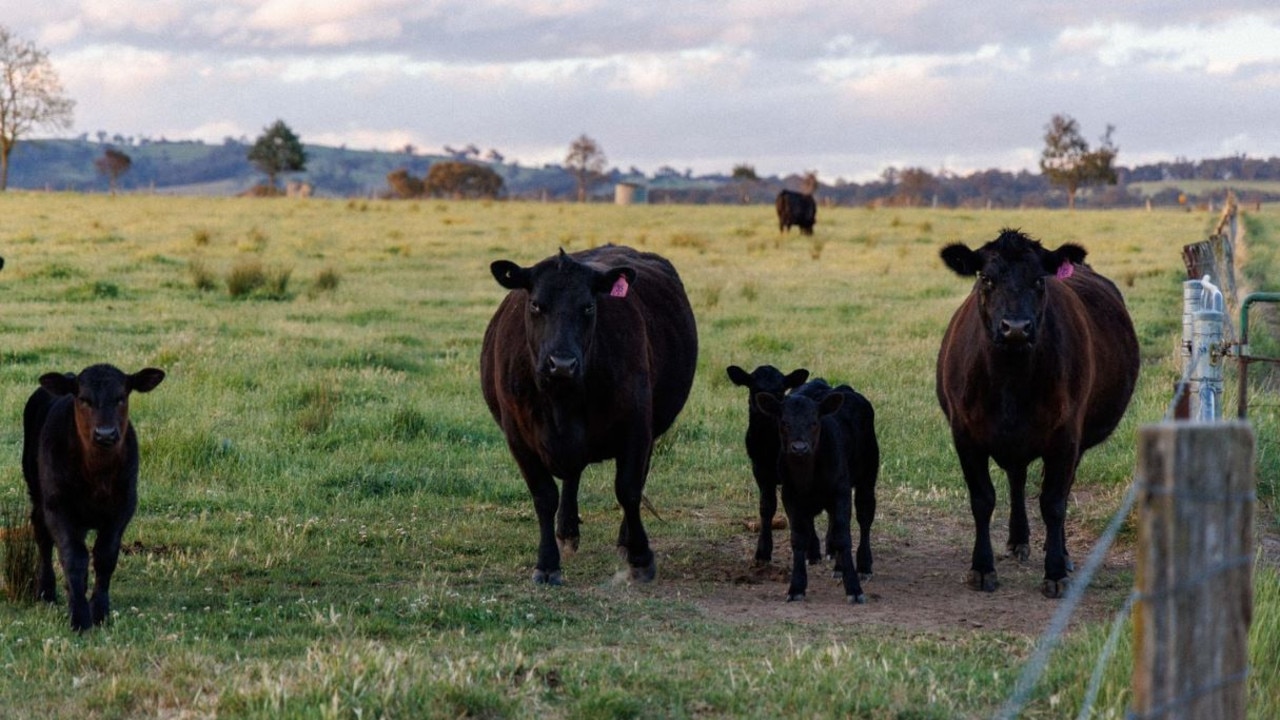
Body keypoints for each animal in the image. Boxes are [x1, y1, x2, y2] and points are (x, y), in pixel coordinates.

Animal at [22, 363, 166, 627]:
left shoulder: (124, 506)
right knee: (42, 536)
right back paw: (46, 592)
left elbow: (104, 556)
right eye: (84, 399)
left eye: (121, 397)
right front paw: (79, 617)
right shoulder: (57, 506)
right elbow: (73, 557)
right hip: (36, 491)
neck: (97, 474)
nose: (105, 434)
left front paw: (99, 611)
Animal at [481, 244, 701, 584]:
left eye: (588, 307)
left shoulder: (637, 427)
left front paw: (640, 556)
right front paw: (547, 563)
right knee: (572, 477)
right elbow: (544, 496)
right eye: (536, 305)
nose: (561, 364)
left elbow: (629, 489)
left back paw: (624, 541)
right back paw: (566, 531)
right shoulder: (517, 434)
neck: (562, 400)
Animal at [752, 379, 875, 602]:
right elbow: (798, 537)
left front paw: (854, 588)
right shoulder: (790, 495)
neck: (808, 475)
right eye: (784, 423)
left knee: (864, 518)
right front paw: (796, 586)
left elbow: (843, 536)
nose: (799, 448)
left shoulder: (841, 491)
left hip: (867, 478)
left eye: (814, 422)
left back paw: (863, 565)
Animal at [931, 228, 1141, 594]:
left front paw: (1055, 570)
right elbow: (982, 499)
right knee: (1016, 478)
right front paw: (982, 568)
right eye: (986, 278)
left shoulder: (1066, 436)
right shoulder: (965, 434)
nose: (1015, 327)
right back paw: (1018, 539)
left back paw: (1060, 553)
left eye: (1040, 280)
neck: (1010, 381)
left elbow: (1053, 502)